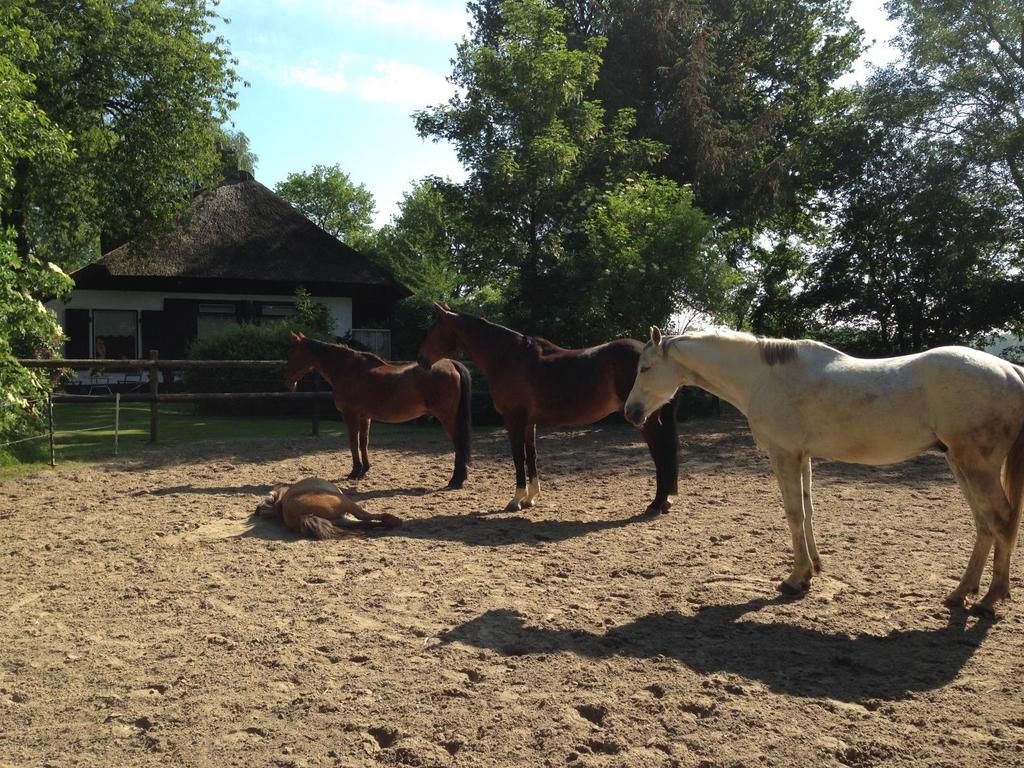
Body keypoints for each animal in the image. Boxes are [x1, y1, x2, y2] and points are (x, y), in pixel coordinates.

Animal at [253, 475, 401, 540]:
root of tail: (301, 516)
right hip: (343, 501)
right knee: (364, 516)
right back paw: (392, 519)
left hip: (339, 519)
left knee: (362, 524)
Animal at [286, 331, 473, 487]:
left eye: (292, 353)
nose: (288, 381)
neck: (346, 369)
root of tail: (452, 363)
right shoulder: (364, 417)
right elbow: (364, 442)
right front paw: (364, 470)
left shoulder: (350, 415)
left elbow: (353, 442)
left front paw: (354, 471)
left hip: (447, 418)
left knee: (458, 444)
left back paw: (456, 480)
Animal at [417, 303, 679, 514]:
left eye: (432, 329)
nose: (420, 360)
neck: (508, 356)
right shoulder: (529, 422)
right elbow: (531, 455)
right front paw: (531, 498)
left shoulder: (513, 419)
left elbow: (518, 456)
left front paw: (516, 500)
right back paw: (664, 502)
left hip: (644, 420)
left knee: (660, 453)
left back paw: (656, 504)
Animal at [618, 325, 1024, 618]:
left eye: (645, 368)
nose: (631, 413)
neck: (763, 377)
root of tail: (1009, 371)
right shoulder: (803, 456)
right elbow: (809, 510)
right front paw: (814, 568)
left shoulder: (783, 454)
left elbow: (794, 514)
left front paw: (795, 578)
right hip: (959, 462)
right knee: (984, 524)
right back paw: (960, 593)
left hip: (977, 465)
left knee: (1002, 520)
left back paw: (990, 599)